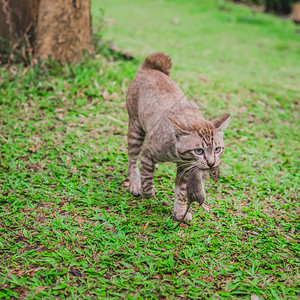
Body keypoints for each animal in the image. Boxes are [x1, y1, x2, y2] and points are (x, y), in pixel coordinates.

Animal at [126, 52, 230, 223]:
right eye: (199, 151)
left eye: (217, 149)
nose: (211, 163)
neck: (177, 154)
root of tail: (150, 69)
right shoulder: (148, 153)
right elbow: (147, 179)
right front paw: (148, 194)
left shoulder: (186, 168)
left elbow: (181, 193)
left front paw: (180, 212)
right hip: (136, 128)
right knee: (132, 159)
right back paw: (135, 183)